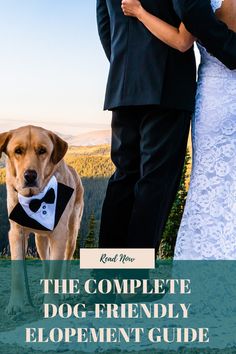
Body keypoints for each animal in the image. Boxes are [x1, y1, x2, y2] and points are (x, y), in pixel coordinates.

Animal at [0, 126, 84, 314]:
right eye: (18, 151)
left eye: (42, 151)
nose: (30, 175)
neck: (35, 199)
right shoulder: (16, 233)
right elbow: (18, 273)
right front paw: (15, 304)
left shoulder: (59, 234)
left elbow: (55, 272)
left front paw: (51, 304)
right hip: (40, 240)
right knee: (46, 263)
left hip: (71, 234)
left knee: (66, 263)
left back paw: (65, 293)